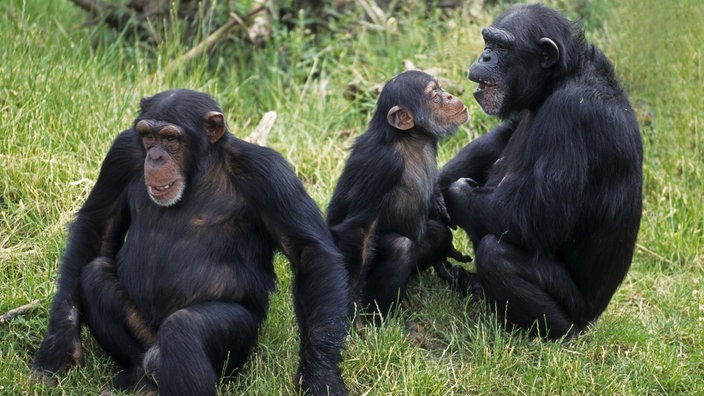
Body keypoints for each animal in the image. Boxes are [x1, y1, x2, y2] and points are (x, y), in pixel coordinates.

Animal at [31, 89, 350, 396]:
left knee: (184, 328)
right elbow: (98, 225)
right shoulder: (120, 156)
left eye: (171, 138)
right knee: (94, 275)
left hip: (236, 352)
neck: (200, 169)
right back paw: (138, 378)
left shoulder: (269, 174)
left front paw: (319, 375)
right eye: (148, 136)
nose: (155, 157)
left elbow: (308, 252)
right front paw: (59, 346)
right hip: (146, 340)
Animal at [328, 70, 470, 318]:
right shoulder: (381, 165)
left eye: (441, 88)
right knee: (399, 247)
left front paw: (439, 203)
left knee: (438, 233)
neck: (409, 139)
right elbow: (360, 229)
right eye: (434, 94)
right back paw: (382, 318)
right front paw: (350, 306)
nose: (450, 95)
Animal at [440, 3, 644, 340]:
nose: (485, 56)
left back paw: (557, 334)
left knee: (496, 254)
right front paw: (433, 184)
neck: (556, 81)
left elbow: (538, 215)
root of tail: (594, 316)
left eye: (502, 47)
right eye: (488, 41)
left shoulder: (571, 114)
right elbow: (505, 133)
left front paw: (453, 193)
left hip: (578, 309)